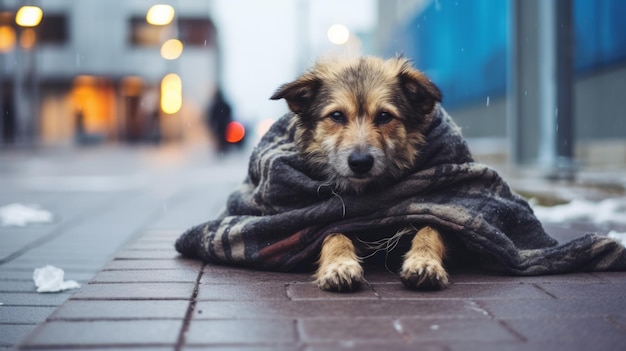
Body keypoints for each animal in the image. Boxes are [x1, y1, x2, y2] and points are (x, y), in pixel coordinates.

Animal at [270, 56, 446, 292]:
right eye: (336, 115)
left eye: (384, 116)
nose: (360, 163)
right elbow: (333, 233)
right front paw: (340, 265)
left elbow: (431, 229)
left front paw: (425, 263)